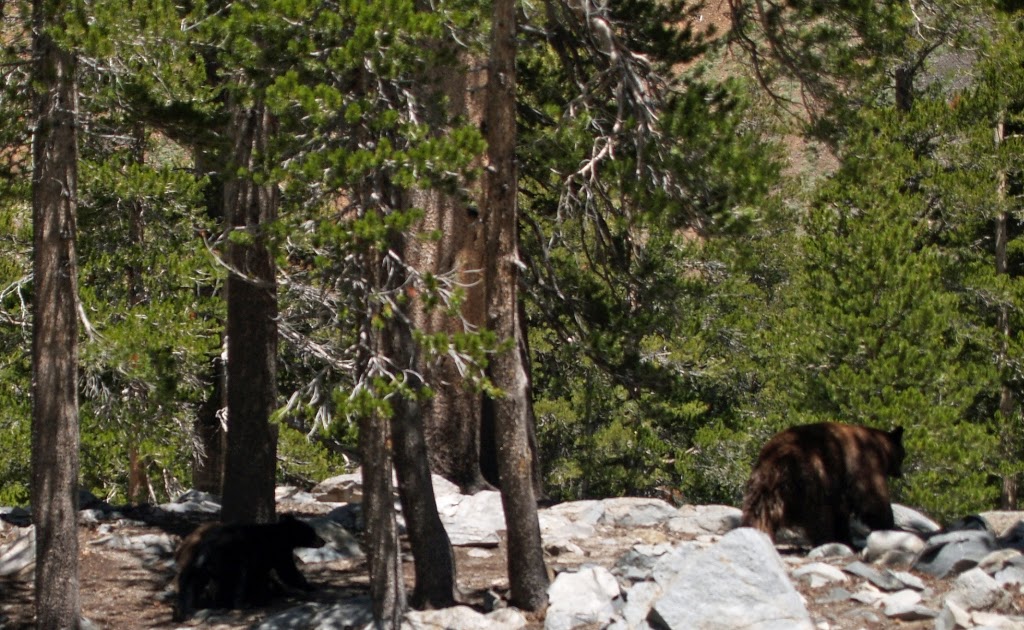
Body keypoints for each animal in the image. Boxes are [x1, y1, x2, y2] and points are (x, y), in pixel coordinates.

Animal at [173, 514, 326, 621]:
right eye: (312, 531)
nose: (323, 541)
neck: (281, 535)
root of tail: (206, 551)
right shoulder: (277, 551)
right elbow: (287, 571)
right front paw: (309, 586)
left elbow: (263, 576)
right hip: (231, 560)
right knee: (238, 579)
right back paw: (240, 604)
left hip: (199, 566)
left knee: (191, 583)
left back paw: (189, 609)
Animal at [741, 422, 905, 547]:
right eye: (903, 455)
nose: (900, 473)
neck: (880, 447)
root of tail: (782, 456)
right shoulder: (864, 462)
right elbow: (871, 497)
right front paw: (888, 525)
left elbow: (841, 510)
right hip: (814, 476)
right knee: (819, 515)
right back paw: (825, 539)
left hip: (763, 482)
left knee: (759, 509)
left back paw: (755, 529)